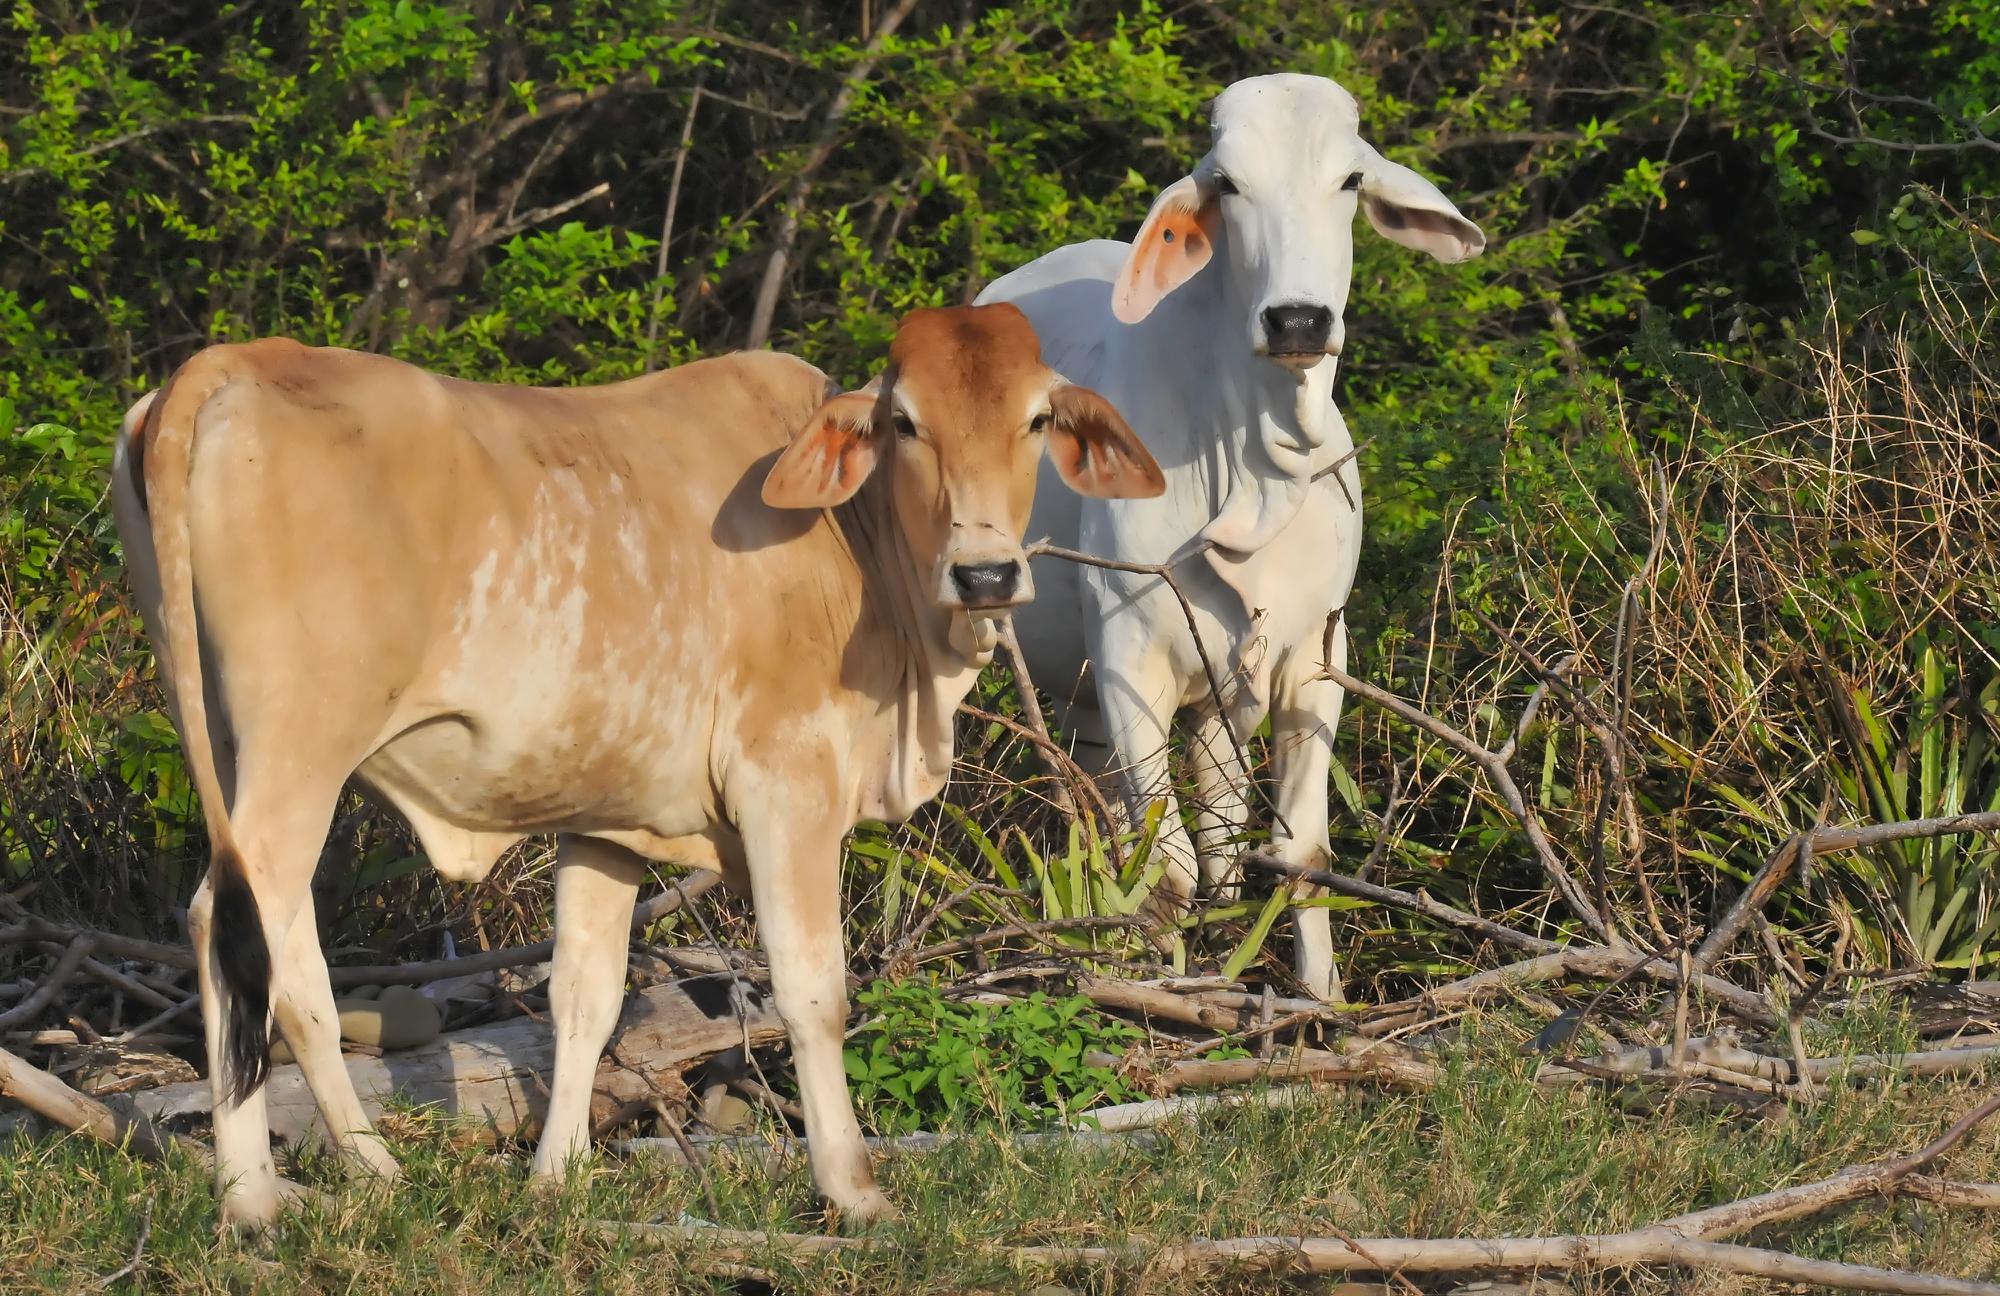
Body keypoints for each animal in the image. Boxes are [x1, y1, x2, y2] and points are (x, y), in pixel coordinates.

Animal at [109, 306, 1168, 1232]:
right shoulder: (788, 786)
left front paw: (557, 1177)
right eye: (905, 422)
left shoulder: (605, 823)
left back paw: (373, 1169)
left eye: (1036, 418)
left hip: (236, 746)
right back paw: (251, 1198)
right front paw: (852, 1188)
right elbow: (813, 992)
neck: (859, 549)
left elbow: (584, 999)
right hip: (299, 747)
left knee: (289, 962)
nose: (986, 575)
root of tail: (233, 363)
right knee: (226, 923)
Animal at [984, 76, 1488, 996]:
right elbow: (1164, 867)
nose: (1297, 321)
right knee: (1111, 822)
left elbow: (1299, 852)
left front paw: (1319, 998)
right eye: (1227, 184)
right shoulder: (1127, 654)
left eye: (1351, 180)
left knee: (1215, 821)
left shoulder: (1317, 654)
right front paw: (1166, 982)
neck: (1251, 466)